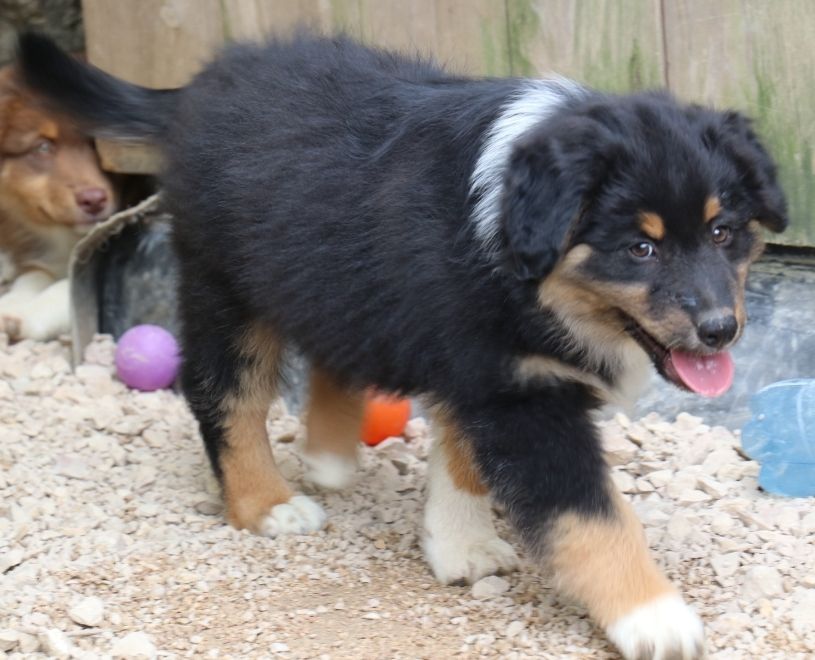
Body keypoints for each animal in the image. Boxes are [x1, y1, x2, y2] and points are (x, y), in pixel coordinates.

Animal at [0, 63, 116, 341]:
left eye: (97, 144)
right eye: (43, 147)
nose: (94, 200)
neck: (66, 235)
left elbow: (66, 289)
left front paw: (27, 317)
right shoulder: (41, 258)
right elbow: (30, 278)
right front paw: (11, 304)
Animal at [16, 32, 787, 659]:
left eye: (723, 232)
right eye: (639, 248)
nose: (721, 330)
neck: (513, 241)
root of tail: (207, 78)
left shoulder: (484, 369)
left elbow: (463, 455)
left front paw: (457, 544)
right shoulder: (520, 393)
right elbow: (591, 514)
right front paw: (653, 618)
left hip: (324, 269)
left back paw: (328, 456)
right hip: (225, 283)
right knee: (225, 396)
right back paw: (267, 503)